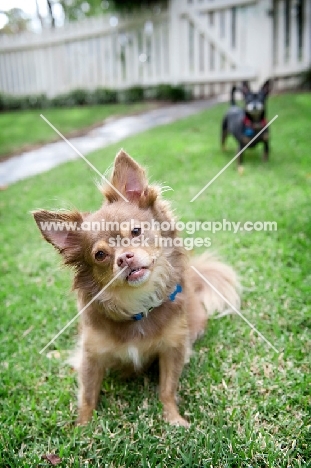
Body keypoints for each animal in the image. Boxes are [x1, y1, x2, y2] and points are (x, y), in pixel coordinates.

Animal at [33, 150, 240, 428]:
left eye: (135, 231)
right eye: (100, 255)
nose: (124, 258)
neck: (136, 305)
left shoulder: (173, 348)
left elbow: (167, 389)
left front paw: (174, 419)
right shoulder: (91, 355)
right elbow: (87, 395)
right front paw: (83, 427)